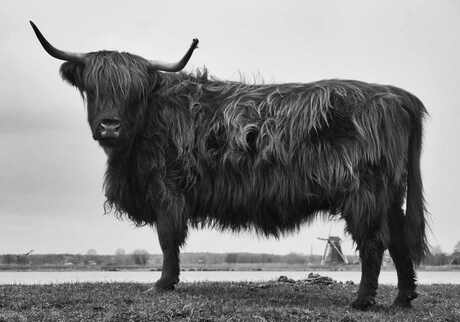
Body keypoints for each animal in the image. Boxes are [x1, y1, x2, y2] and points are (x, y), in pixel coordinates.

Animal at [31, 22, 428, 310]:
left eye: (134, 91)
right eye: (94, 88)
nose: (109, 125)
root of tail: (396, 95)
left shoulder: (167, 189)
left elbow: (167, 238)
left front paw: (162, 285)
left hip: (364, 191)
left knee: (374, 242)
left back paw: (362, 301)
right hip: (390, 193)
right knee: (398, 239)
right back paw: (402, 298)